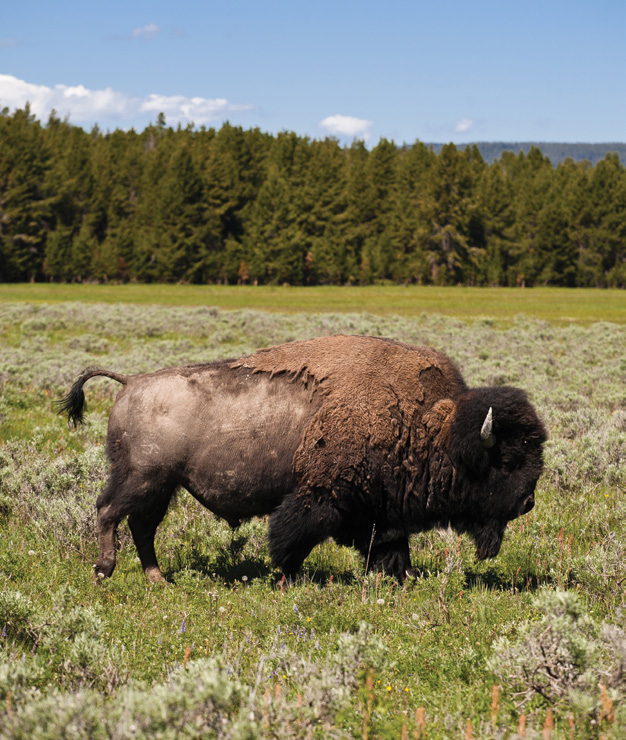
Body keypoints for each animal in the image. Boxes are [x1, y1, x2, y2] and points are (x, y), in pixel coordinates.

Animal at [58, 335, 546, 583]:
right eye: (506, 461)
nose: (528, 503)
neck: (428, 424)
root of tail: (131, 382)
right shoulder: (320, 497)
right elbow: (294, 539)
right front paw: (285, 577)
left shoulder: (379, 509)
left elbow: (390, 545)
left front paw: (400, 577)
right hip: (142, 478)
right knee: (108, 511)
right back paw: (104, 571)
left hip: (161, 487)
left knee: (141, 526)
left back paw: (159, 579)